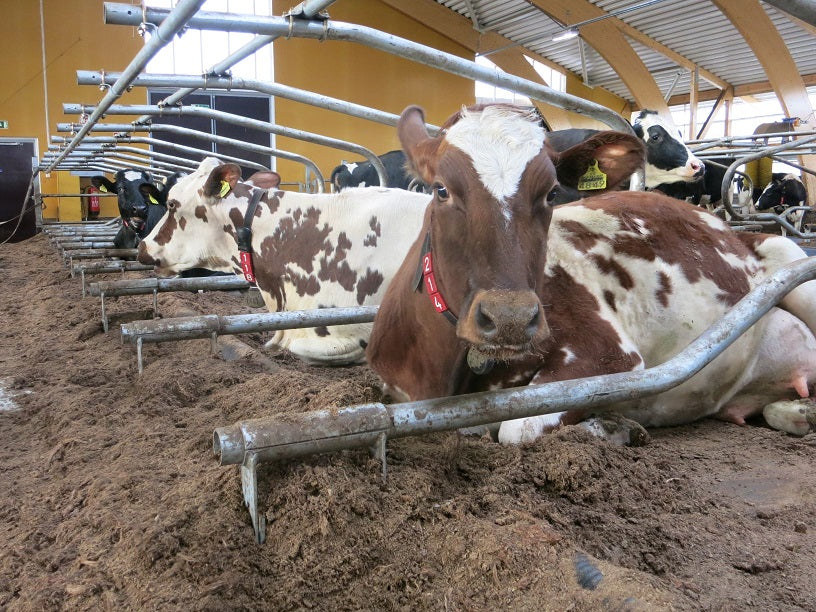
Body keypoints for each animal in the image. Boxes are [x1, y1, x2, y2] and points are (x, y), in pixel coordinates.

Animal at [366, 104, 816, 444]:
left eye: (551, 193)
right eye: (441, 189)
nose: (511, 318)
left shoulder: (608, 354)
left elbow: (515, 429)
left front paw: (611, 425)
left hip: (794, 264)